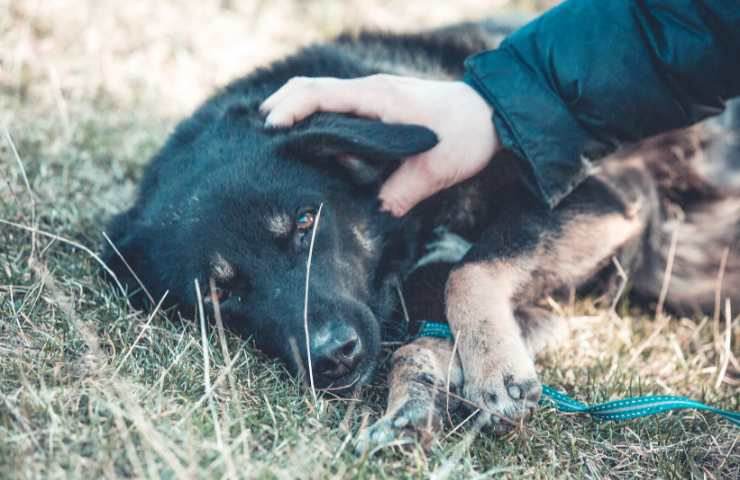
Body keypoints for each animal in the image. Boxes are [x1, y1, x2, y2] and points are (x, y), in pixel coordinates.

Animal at [104, 19, 740, 450]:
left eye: (307, 222)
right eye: (217, 295)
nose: (332, 357)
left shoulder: (607, 197)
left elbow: (467, 270)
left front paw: (490, 369)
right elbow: (428, 316)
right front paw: (416, 394)